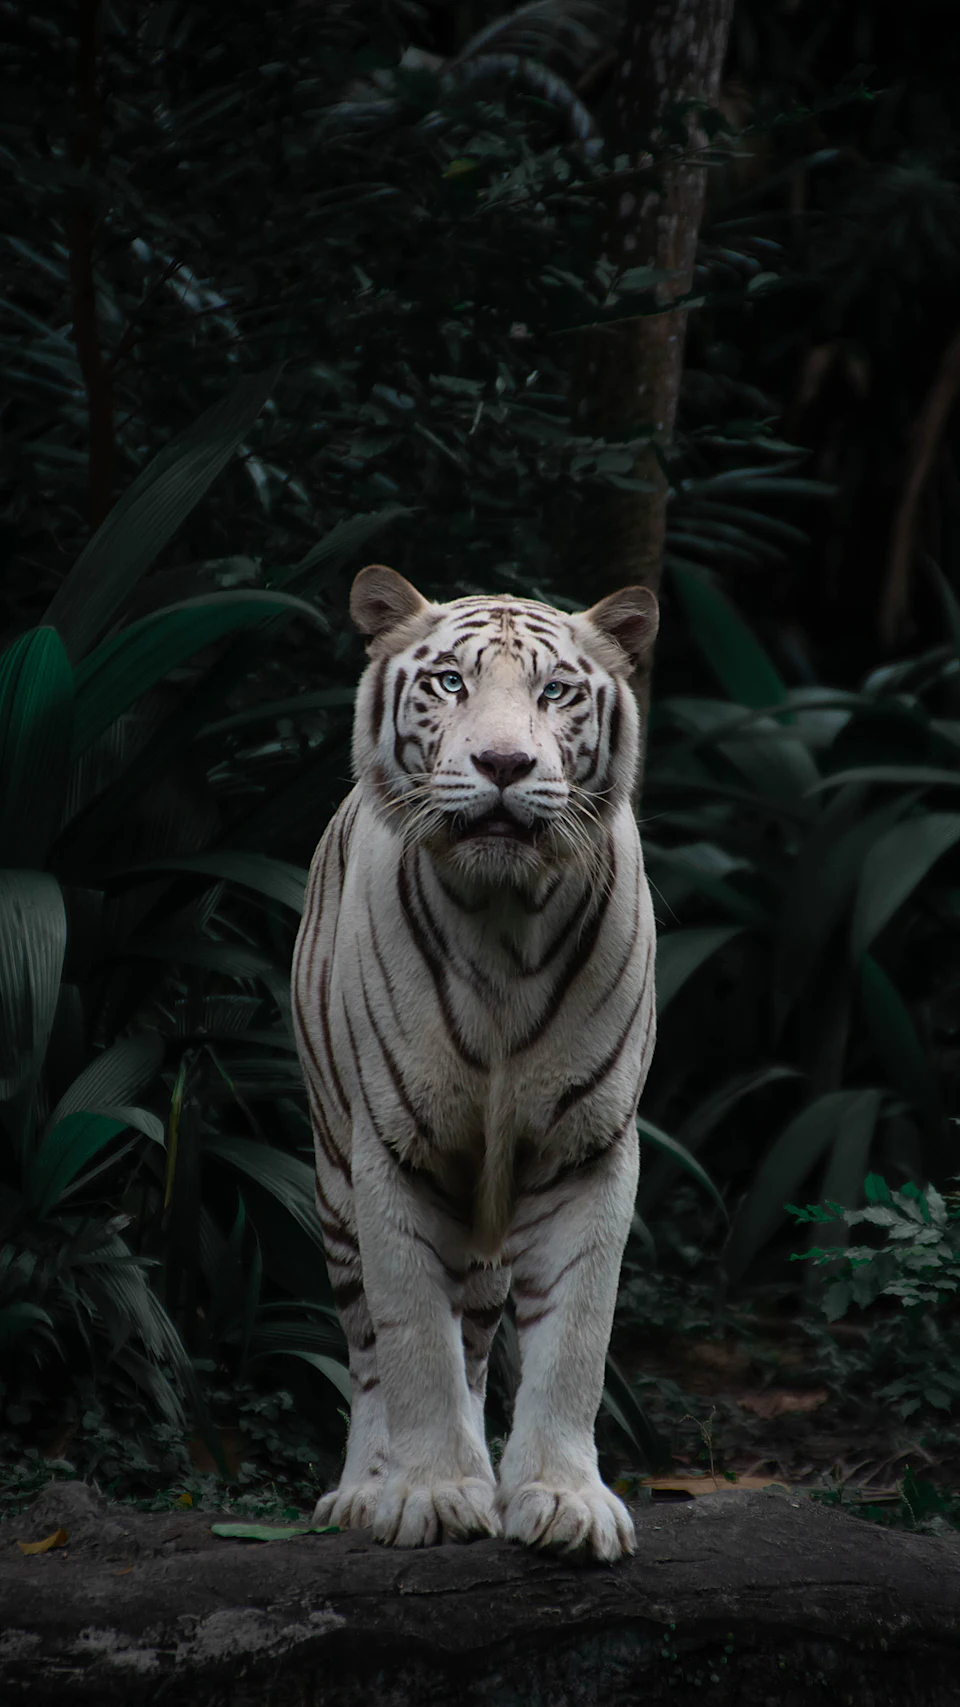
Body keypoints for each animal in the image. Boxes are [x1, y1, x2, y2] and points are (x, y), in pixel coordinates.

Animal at [291, 564, 658, 1561]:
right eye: (450, 682)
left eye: (556, 690)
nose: (502, 765)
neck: (503, 920)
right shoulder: (392, 1149)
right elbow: (413, 1338)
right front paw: (429, 1492)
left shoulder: (587, 1148)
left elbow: (575, 1337)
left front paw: (563, 1499)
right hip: (333, 1179)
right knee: (369, 1349)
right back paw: (363, 1490)